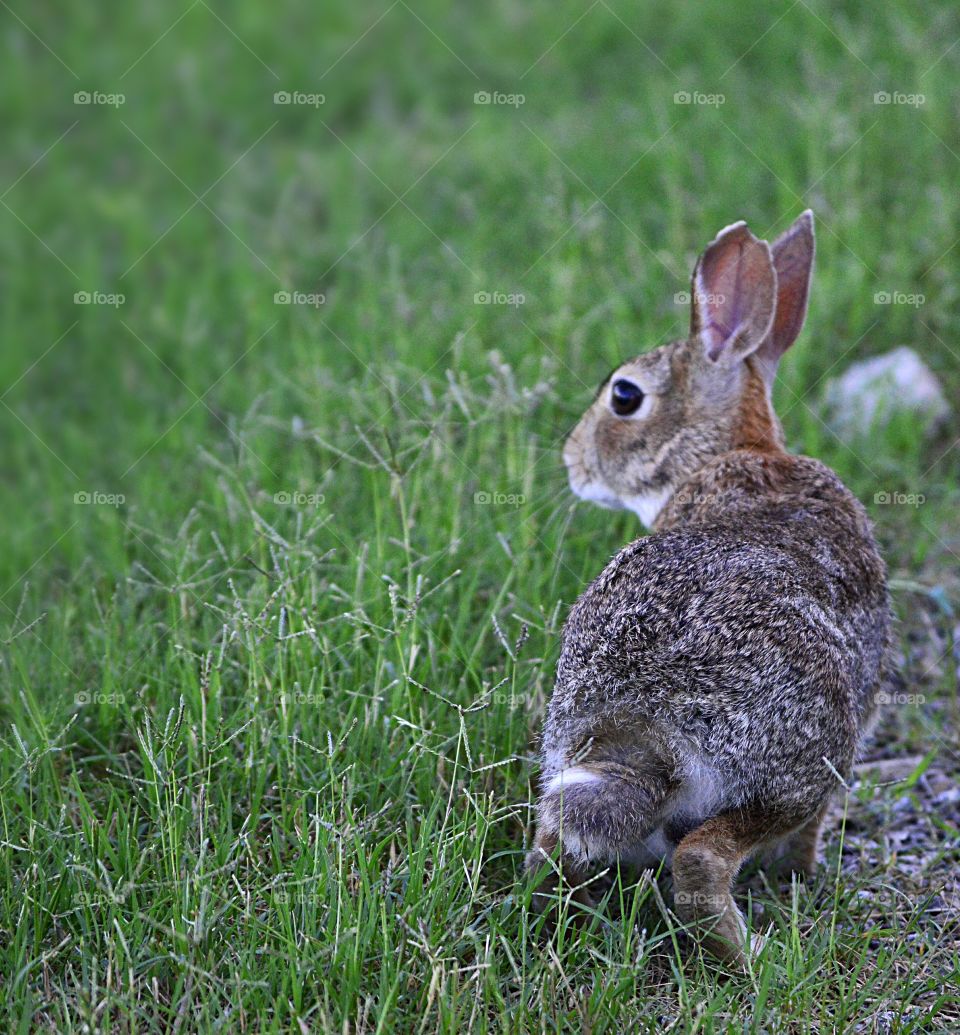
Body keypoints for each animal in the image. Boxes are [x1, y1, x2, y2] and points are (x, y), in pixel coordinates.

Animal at [526, 212, 894, 966]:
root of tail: (641, 723)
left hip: (571, 768)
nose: (574, 463)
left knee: (557, 840)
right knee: (699, 861)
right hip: (798, 767)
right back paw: (755, 959)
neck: (729, 452)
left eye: (624, 395)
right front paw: (806, 875)